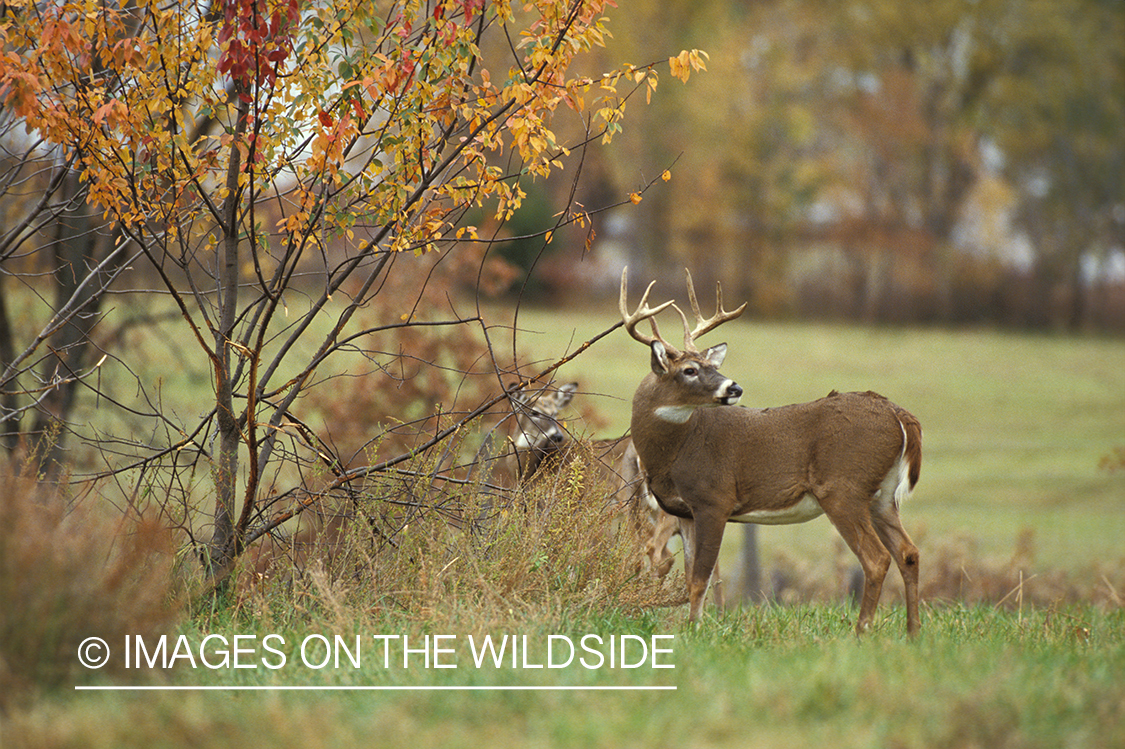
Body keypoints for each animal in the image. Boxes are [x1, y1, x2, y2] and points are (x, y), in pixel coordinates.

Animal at [621, 265, 918, 634]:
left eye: (714, 367)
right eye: (689, 370)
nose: (734, 387)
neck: (673, 454)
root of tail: (898, 414)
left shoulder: (714, 499)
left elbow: (701, 578)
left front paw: (695, 631)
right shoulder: (683, 512)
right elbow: (691, 575)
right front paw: (692, 627)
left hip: (843, 488)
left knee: (876, 559)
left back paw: (861, 631)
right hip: (883, 496)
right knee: (908, 553)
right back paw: (913, 633)